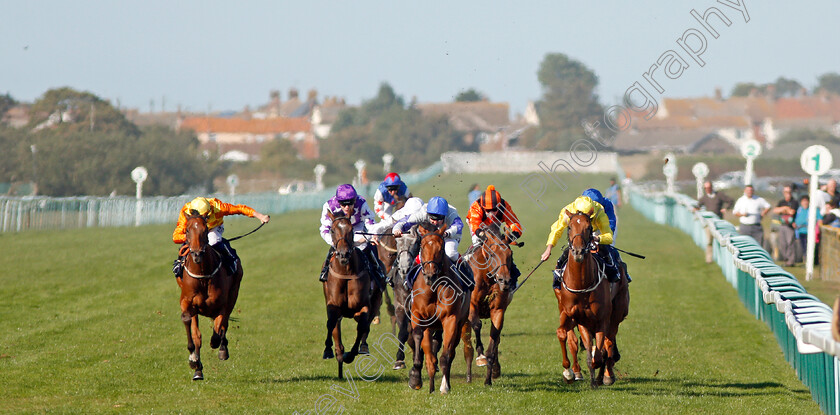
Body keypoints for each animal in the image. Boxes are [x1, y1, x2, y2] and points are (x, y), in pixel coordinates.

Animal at [177, 213, 241, 382]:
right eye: (187, 230)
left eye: (205, 230)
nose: (197, 254)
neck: (203, 276)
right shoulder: (188, 303)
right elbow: (194, 333)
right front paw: (194, 362)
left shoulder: (222, 305)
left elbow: (219, 328)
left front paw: (218, 345)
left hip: (234, 293)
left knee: (224, 324)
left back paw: (222, 348)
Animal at [322, 213, 384, 378]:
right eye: (332, 230)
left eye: (351, 230)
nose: (343, 254)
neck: (346, 274)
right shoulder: (333, 306)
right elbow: (331, 324)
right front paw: (329, 350)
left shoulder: (364, 306)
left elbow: (362, 326)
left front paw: (350, 355)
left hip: (376, 300)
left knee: (366, 326)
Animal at [408, 223, 470, 394]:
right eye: (422, 246)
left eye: (441, 248)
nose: (430, 275)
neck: (433, 288)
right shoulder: (417, 315)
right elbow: (419, 338)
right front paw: (416, 376)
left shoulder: (450, 319)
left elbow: (445, 356)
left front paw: (445, 386)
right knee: (430, 355)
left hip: (460, 323)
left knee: (450, 351)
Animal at [462, 224, 516, 386]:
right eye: (492, 254)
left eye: (509, 254)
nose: (505, 281)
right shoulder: (472, 306)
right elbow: (477, 325)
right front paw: (480, 356)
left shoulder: (498, 310)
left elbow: (495, 338)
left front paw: (488, 379)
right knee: (467, 346)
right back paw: (468, 376)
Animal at [552, 211, 616, 390]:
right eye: (569, 227)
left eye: (588, 228)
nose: (579, 252)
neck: (582, 284)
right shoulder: (573, 315)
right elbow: (564, 335)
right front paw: (569, 372)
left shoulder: (602, 319)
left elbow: (599, 354)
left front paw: (597, 378)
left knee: (609, 343)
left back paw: (606, 376)